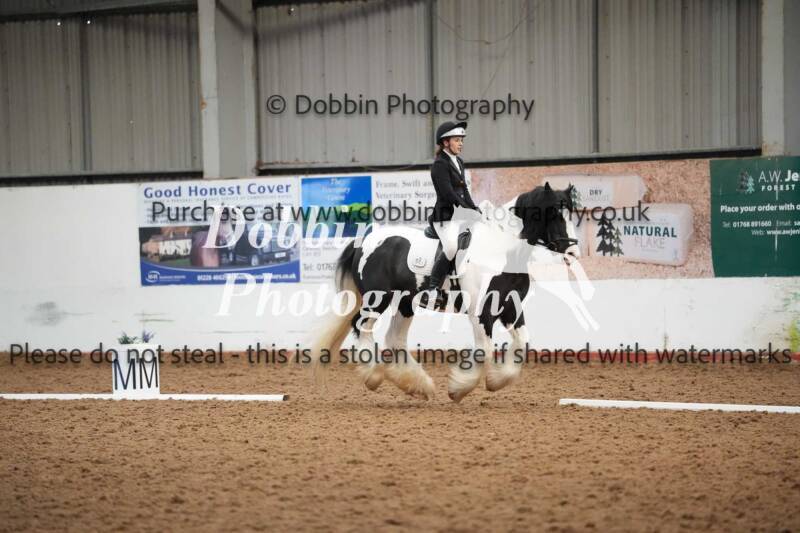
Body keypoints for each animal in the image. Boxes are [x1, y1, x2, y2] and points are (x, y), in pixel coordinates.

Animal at [309, 182, 581, 403]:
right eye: (555, 213)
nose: (573, 252)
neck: (502, 249)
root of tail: (363, 241)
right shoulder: (481, 312)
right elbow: (486, 349)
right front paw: (459, 389)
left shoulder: (509, 307)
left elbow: (523, 343)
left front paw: (496, 382)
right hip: (377, 299)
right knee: (362, 327)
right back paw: (374, 376)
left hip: (405, 303)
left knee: (394, 338)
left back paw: (416, 386)